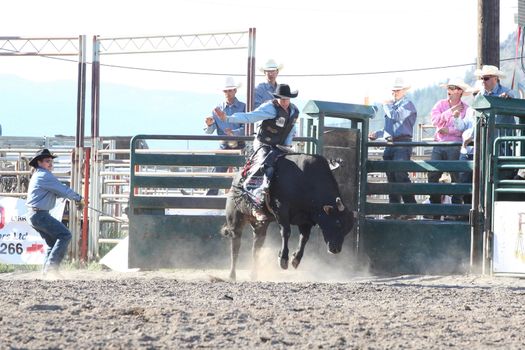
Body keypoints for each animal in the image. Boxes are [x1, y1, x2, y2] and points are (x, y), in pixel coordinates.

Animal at [219, 152, 354, 280]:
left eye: (348, 230)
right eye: (337, 222)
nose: (336, 250)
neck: (305, 179)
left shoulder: (306, 219)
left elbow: (304, 238)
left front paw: (295, 259)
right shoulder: (281, 210)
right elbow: (286, 232)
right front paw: (283, 259)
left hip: (260, 225)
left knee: (256, 247)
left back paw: (253, 274)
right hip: (235, 219)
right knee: (235, 246)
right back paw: (232, 275)